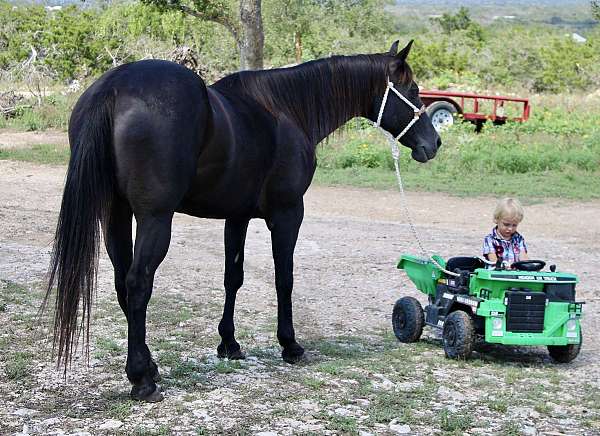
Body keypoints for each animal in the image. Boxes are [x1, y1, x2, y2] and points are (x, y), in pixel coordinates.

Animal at [44, 41, 438, 402]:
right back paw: (142, 379)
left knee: (122, 284)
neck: (288, 108)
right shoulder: (288, 214)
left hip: (116, 214)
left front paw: (229, 343)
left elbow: (233, 277)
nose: (433, 143)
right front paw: (290, 345)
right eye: (413, 90)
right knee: (138, 283)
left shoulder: (237, 216)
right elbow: (284, 279)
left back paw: (150, 366)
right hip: (154, 219)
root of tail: (114, 86)